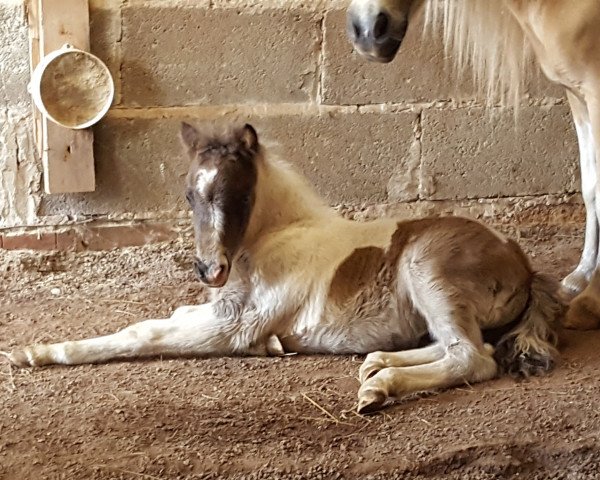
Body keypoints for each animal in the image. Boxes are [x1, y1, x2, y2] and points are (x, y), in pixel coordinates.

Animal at [5, 124, 564, 412]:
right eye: (189, 194)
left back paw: (379, 387)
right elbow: (166, 318)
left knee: (473, 356)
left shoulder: (233, 327)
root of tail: (520, 261)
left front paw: (33, 352)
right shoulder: (222, 309)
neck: (266, 244)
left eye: (240, 196)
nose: (209, 270)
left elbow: (140, 334)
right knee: (454, 345)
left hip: (427, 269)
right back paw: (376, 363)